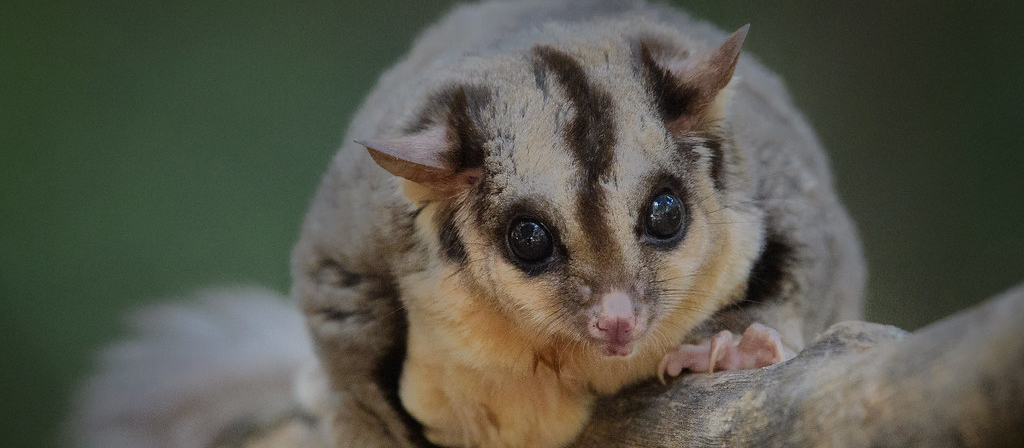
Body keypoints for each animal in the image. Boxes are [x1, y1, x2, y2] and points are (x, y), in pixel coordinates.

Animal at [70, 1, 865, 447]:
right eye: (529, 239)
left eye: (665, 214)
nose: (617, 320)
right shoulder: (358, 228)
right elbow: (336, 306)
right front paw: (362, 420)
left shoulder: (776, 177)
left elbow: (819, 257)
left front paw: (732, 344)